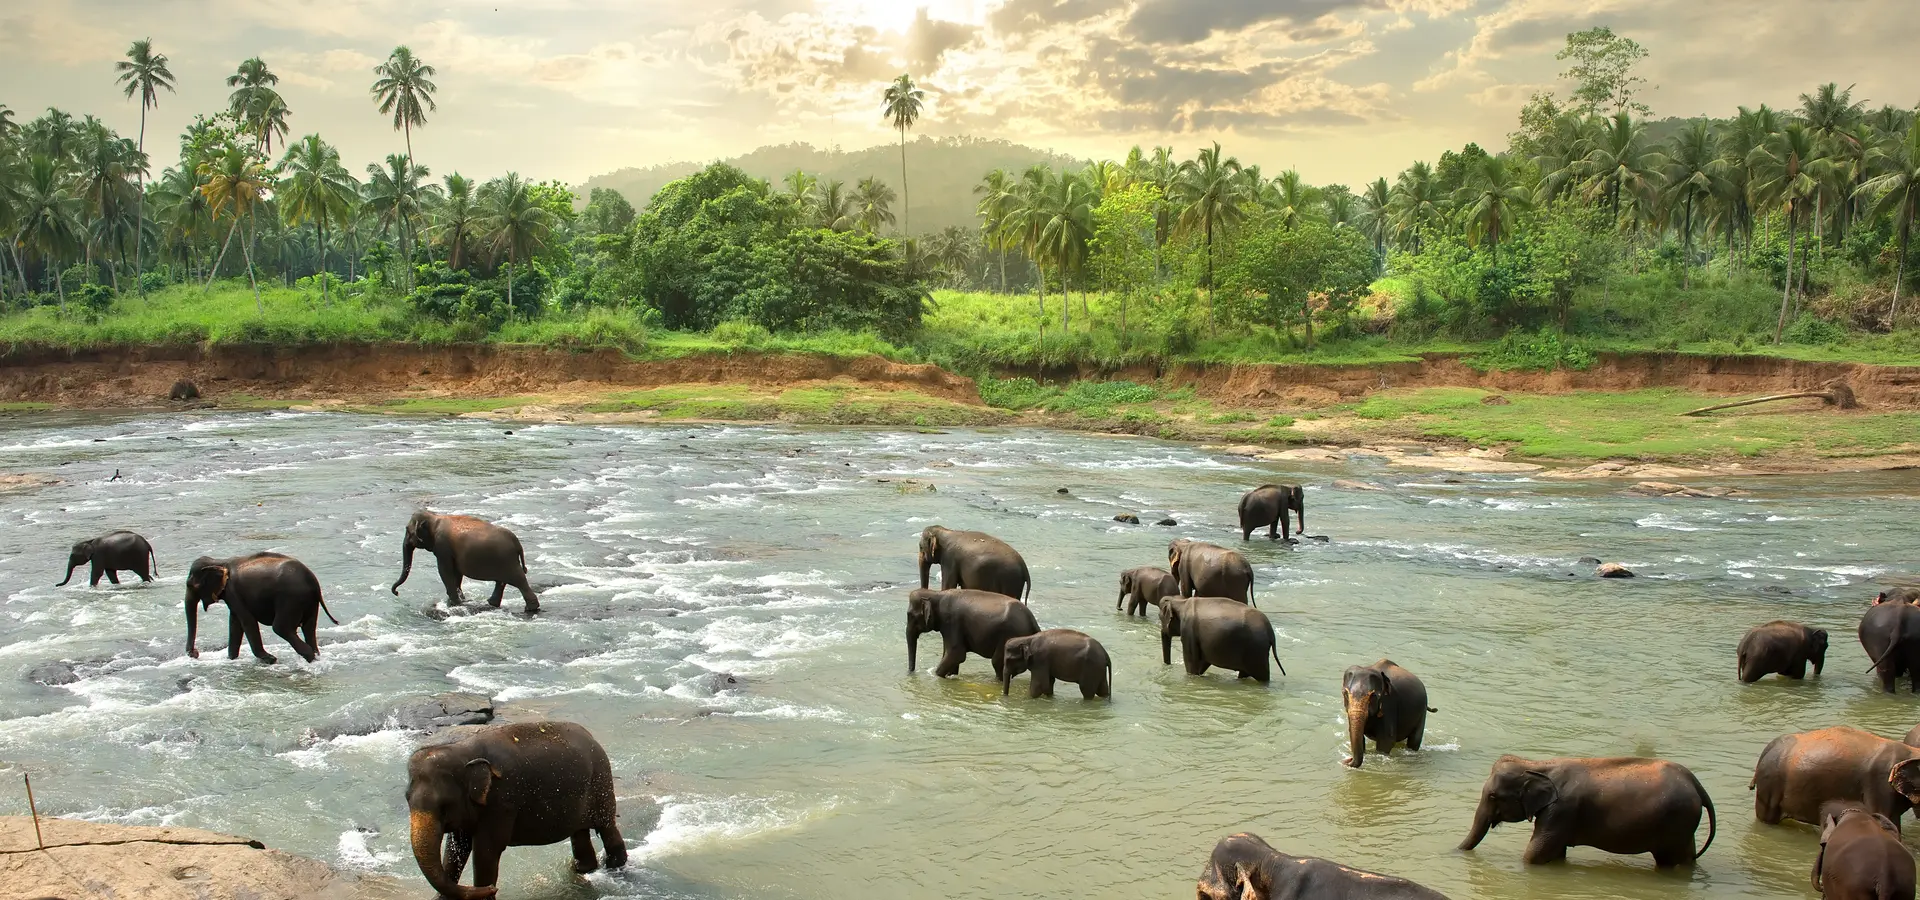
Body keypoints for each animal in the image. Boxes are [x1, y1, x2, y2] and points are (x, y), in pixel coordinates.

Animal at [184, 553, 339, 664]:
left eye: (190, 585)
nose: (196, 653)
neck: (219, 561)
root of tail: (313, 582)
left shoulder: (234, 592)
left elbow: (247, 621)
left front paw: (270, 659)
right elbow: (235, 623)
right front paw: (231, 659)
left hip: (290, 599)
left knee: (280, 628)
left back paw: (309, 658)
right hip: (310, 603)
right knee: (309, 628)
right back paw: (315, 656)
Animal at [392, 511, 539, 614]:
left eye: (407, 530)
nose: (396, 593)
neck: (435, 517)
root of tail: (517, 543)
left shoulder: (442, 547)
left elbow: (445, 571)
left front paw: (455, 603)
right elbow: (456, 573)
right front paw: (460, 601)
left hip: (507, 560)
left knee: (519, 581)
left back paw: (531, 608)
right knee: (501, 581)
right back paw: (491, 603)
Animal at [406, 721, 625, 900]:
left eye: (444, 806)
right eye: (407, 799)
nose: (494, 889)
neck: (461, 750)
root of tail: (592, 737)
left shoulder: (502, 800)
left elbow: (486, 850)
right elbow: (455, 849)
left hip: (601, 783)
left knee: (607, 828)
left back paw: (616, 868)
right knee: (579, 834)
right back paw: (584, 870)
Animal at [906, 588, 1040, 679]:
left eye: (910, 615)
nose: (911, 673)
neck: (935, 594)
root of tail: (1032, 619)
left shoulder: (952, 622)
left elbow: (957, 653)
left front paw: (937, 676)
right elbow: (949, 654)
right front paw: (951, 675)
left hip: (1010, 635)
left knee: (997, 662)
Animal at [1459, 755, 1717, 867]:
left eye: (1493, 796)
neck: (1538, 764)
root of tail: (1696, 783)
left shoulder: (1561, 811)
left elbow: (1535, 854)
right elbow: (1555, 854)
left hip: (1676, 821)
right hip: (1684, 825)